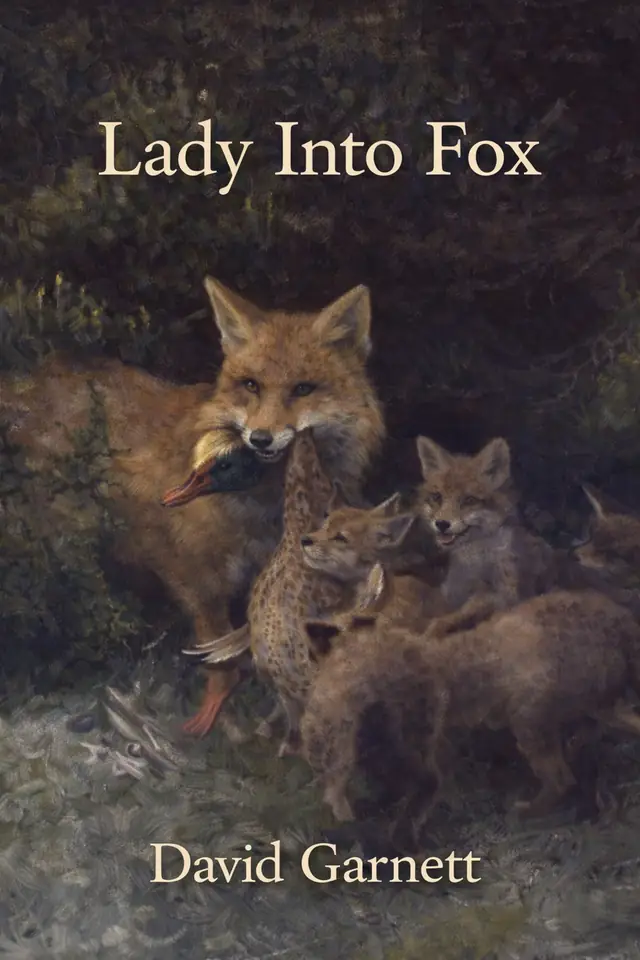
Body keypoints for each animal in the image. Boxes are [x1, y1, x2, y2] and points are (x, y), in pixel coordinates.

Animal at [0, 277, 385, 739]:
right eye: (251, 385)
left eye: (302, 389)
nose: (260, 438)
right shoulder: (196, 579)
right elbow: (221, 663)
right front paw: (221, 724)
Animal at [301, 565, 640, 840]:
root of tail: (621, 624)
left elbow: (420, 791)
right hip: (598, 709)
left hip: (530, 722)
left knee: (560, 779)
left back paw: (525, 812)